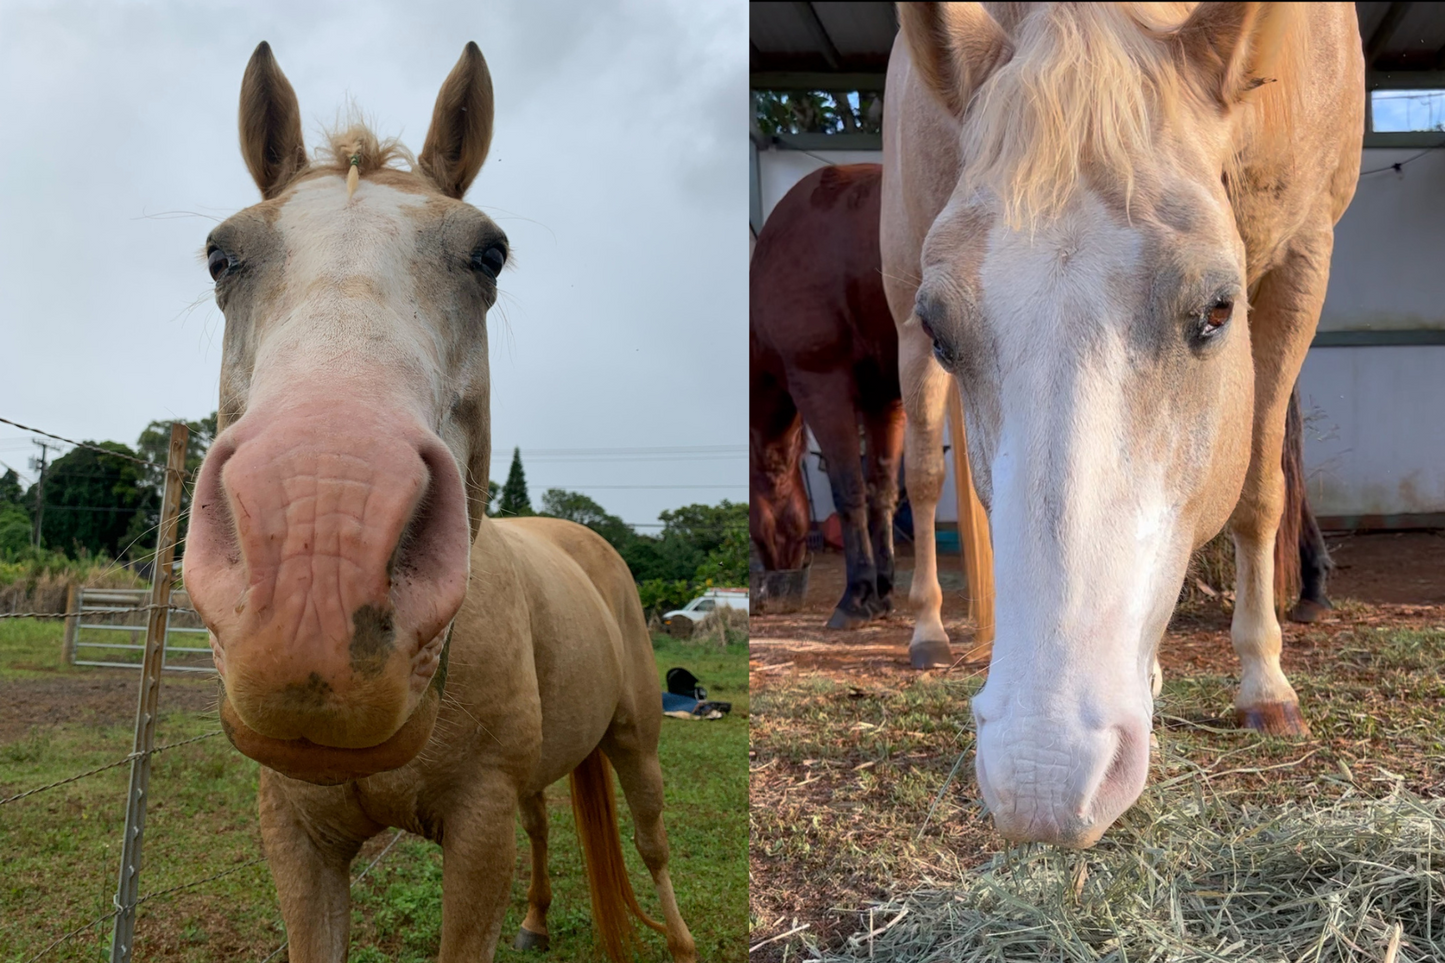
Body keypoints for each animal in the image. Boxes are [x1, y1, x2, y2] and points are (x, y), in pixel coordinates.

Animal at [187, 41, 699, 954]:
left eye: (487, 255)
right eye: (220, 255)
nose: (320, 547)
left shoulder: (477, 829)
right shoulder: (296, 835)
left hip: (634, 740)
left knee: (651, 841)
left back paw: (678, 940)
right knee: (545, 824)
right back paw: (534, 921)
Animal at [751, 164, 895, 630]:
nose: (783, 570)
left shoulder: (820, 386)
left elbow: (849, 490)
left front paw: (858, 595)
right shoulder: (884, 399)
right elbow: (881, 491)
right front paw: (884, 591)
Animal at [878, 1, 1364, 838]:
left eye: (1217, 311)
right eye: (944, 331)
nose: (1042, 777)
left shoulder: (1304, 257)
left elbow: (1259, 491)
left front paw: (1263, 683)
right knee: (922, 473)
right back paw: (928, 630)